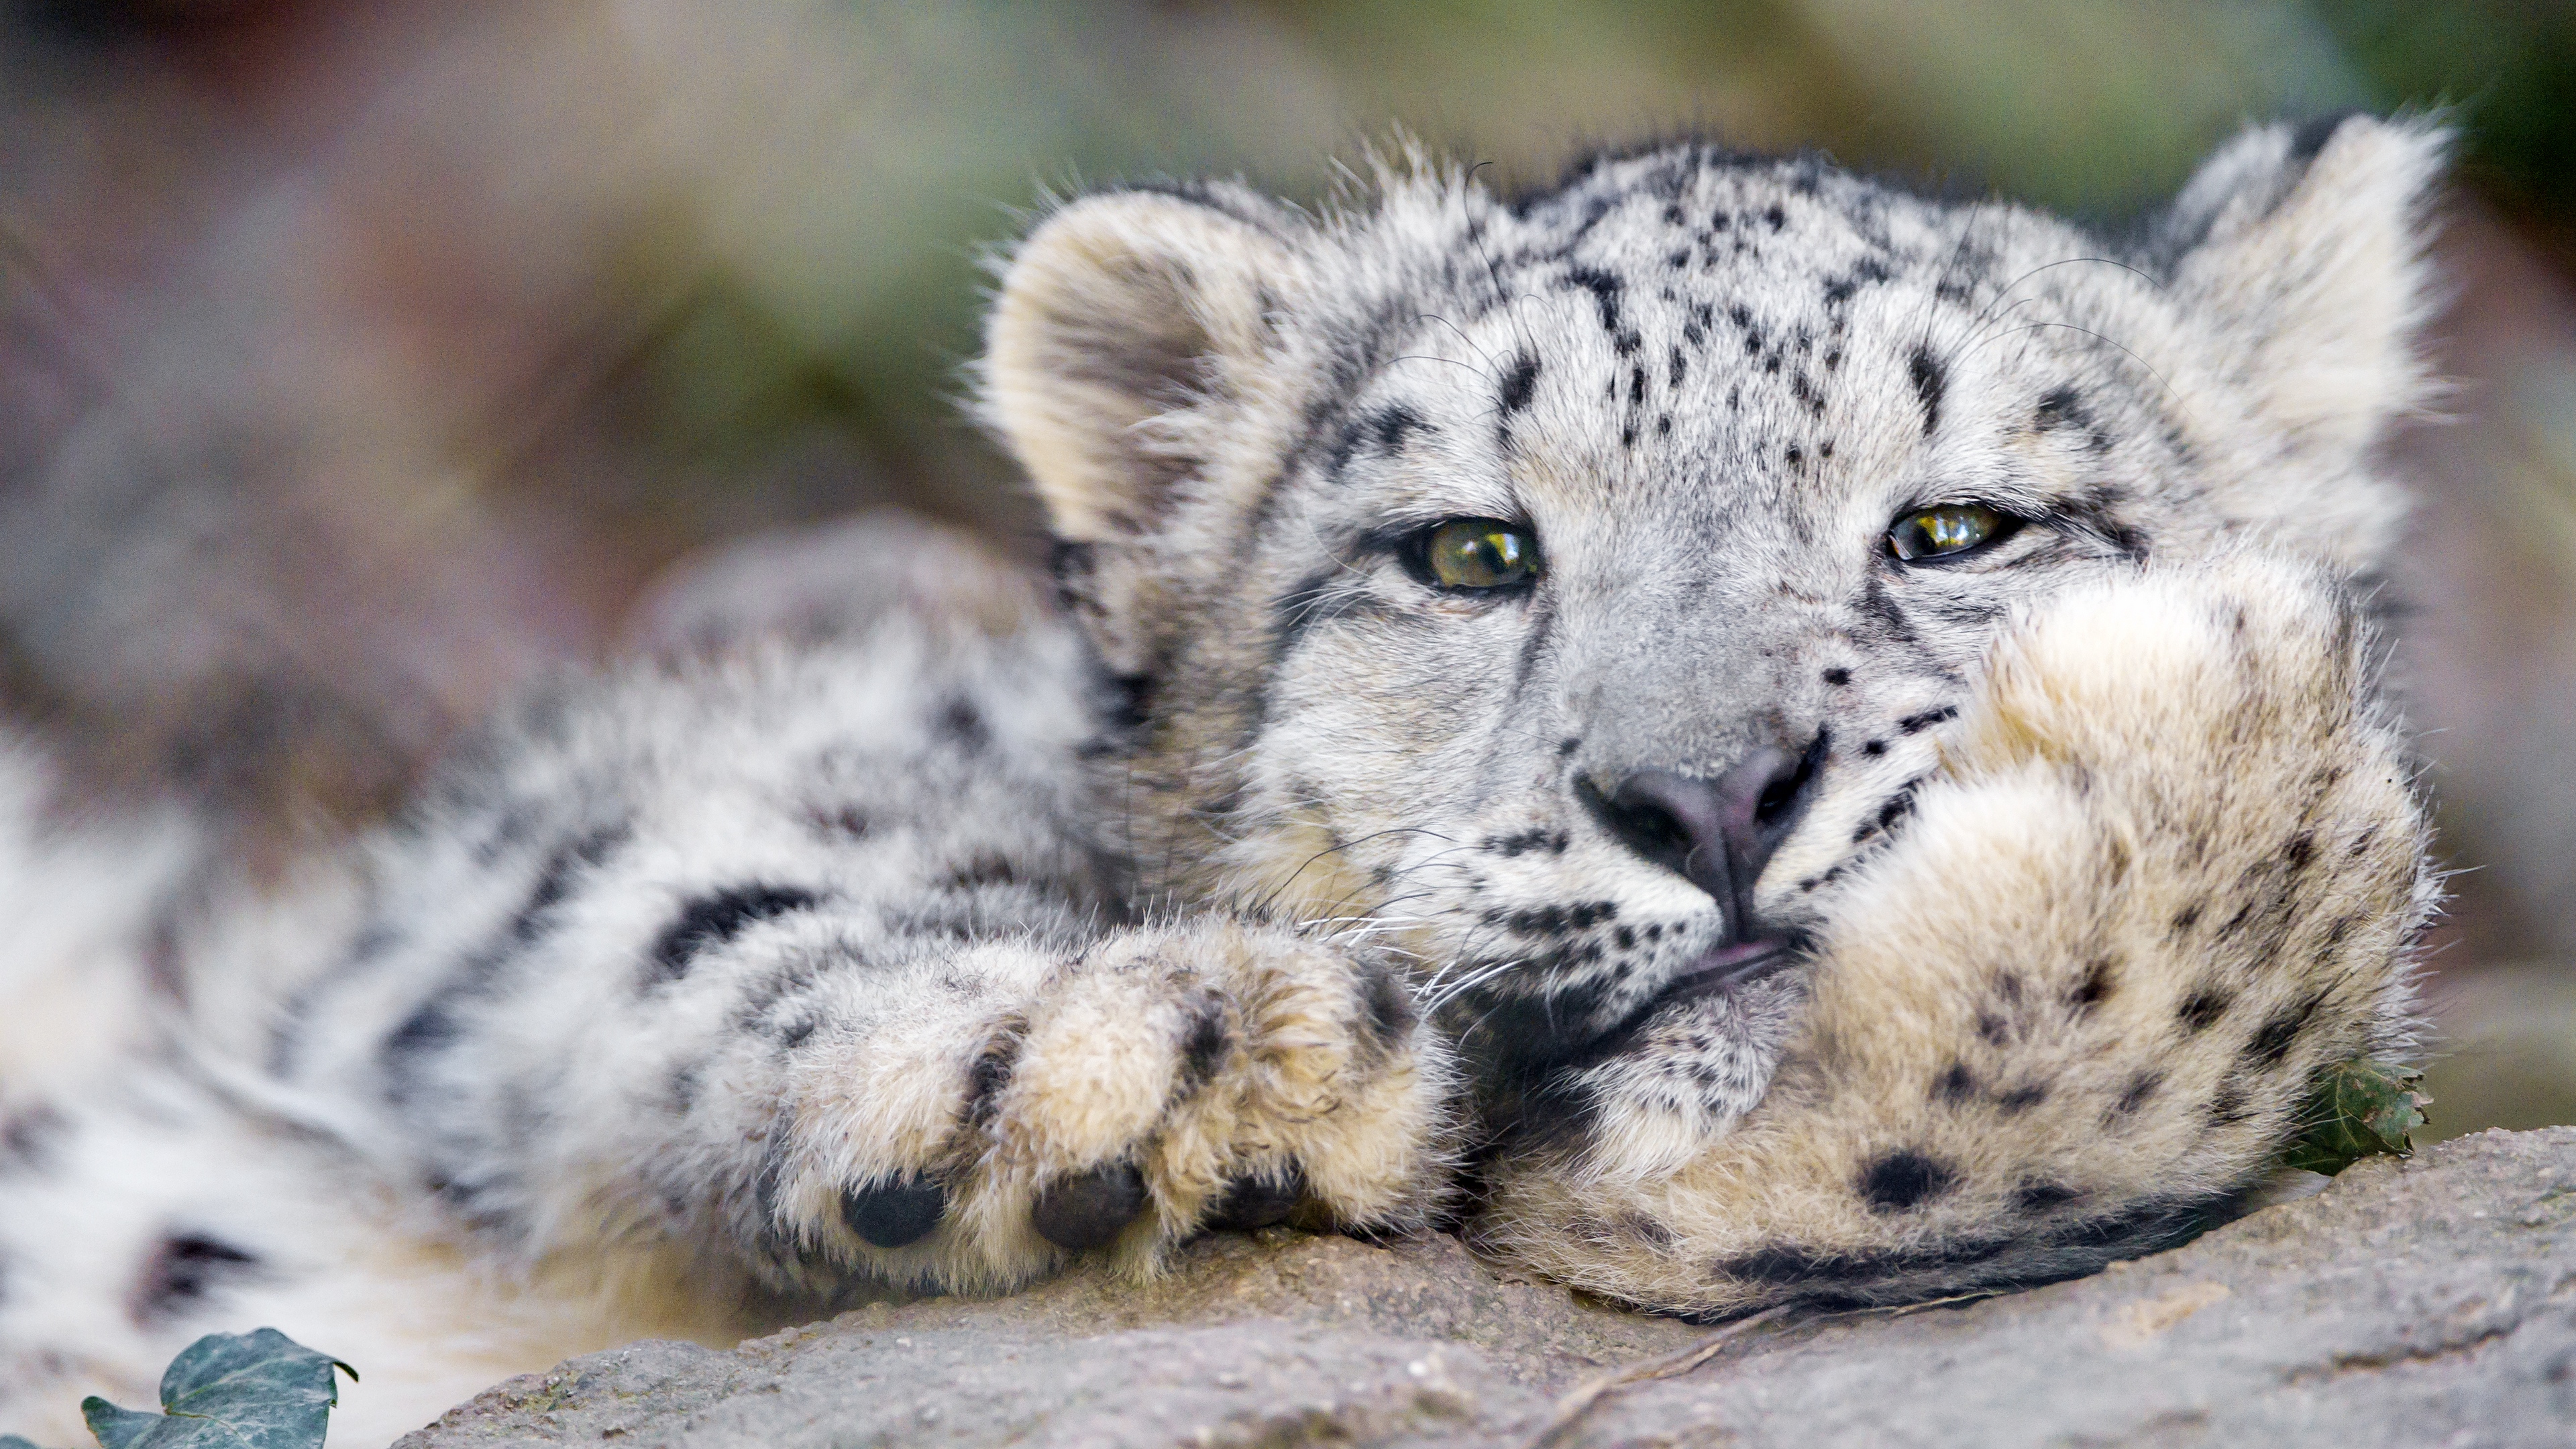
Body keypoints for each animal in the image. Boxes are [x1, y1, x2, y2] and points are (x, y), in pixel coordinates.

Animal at [0, 112, 2444, 1446]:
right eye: (1471, 550)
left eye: (1956, 527)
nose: (1714, 795)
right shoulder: (548, 863)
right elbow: (700, 892)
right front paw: (1141, 1061)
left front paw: (2215, 760)